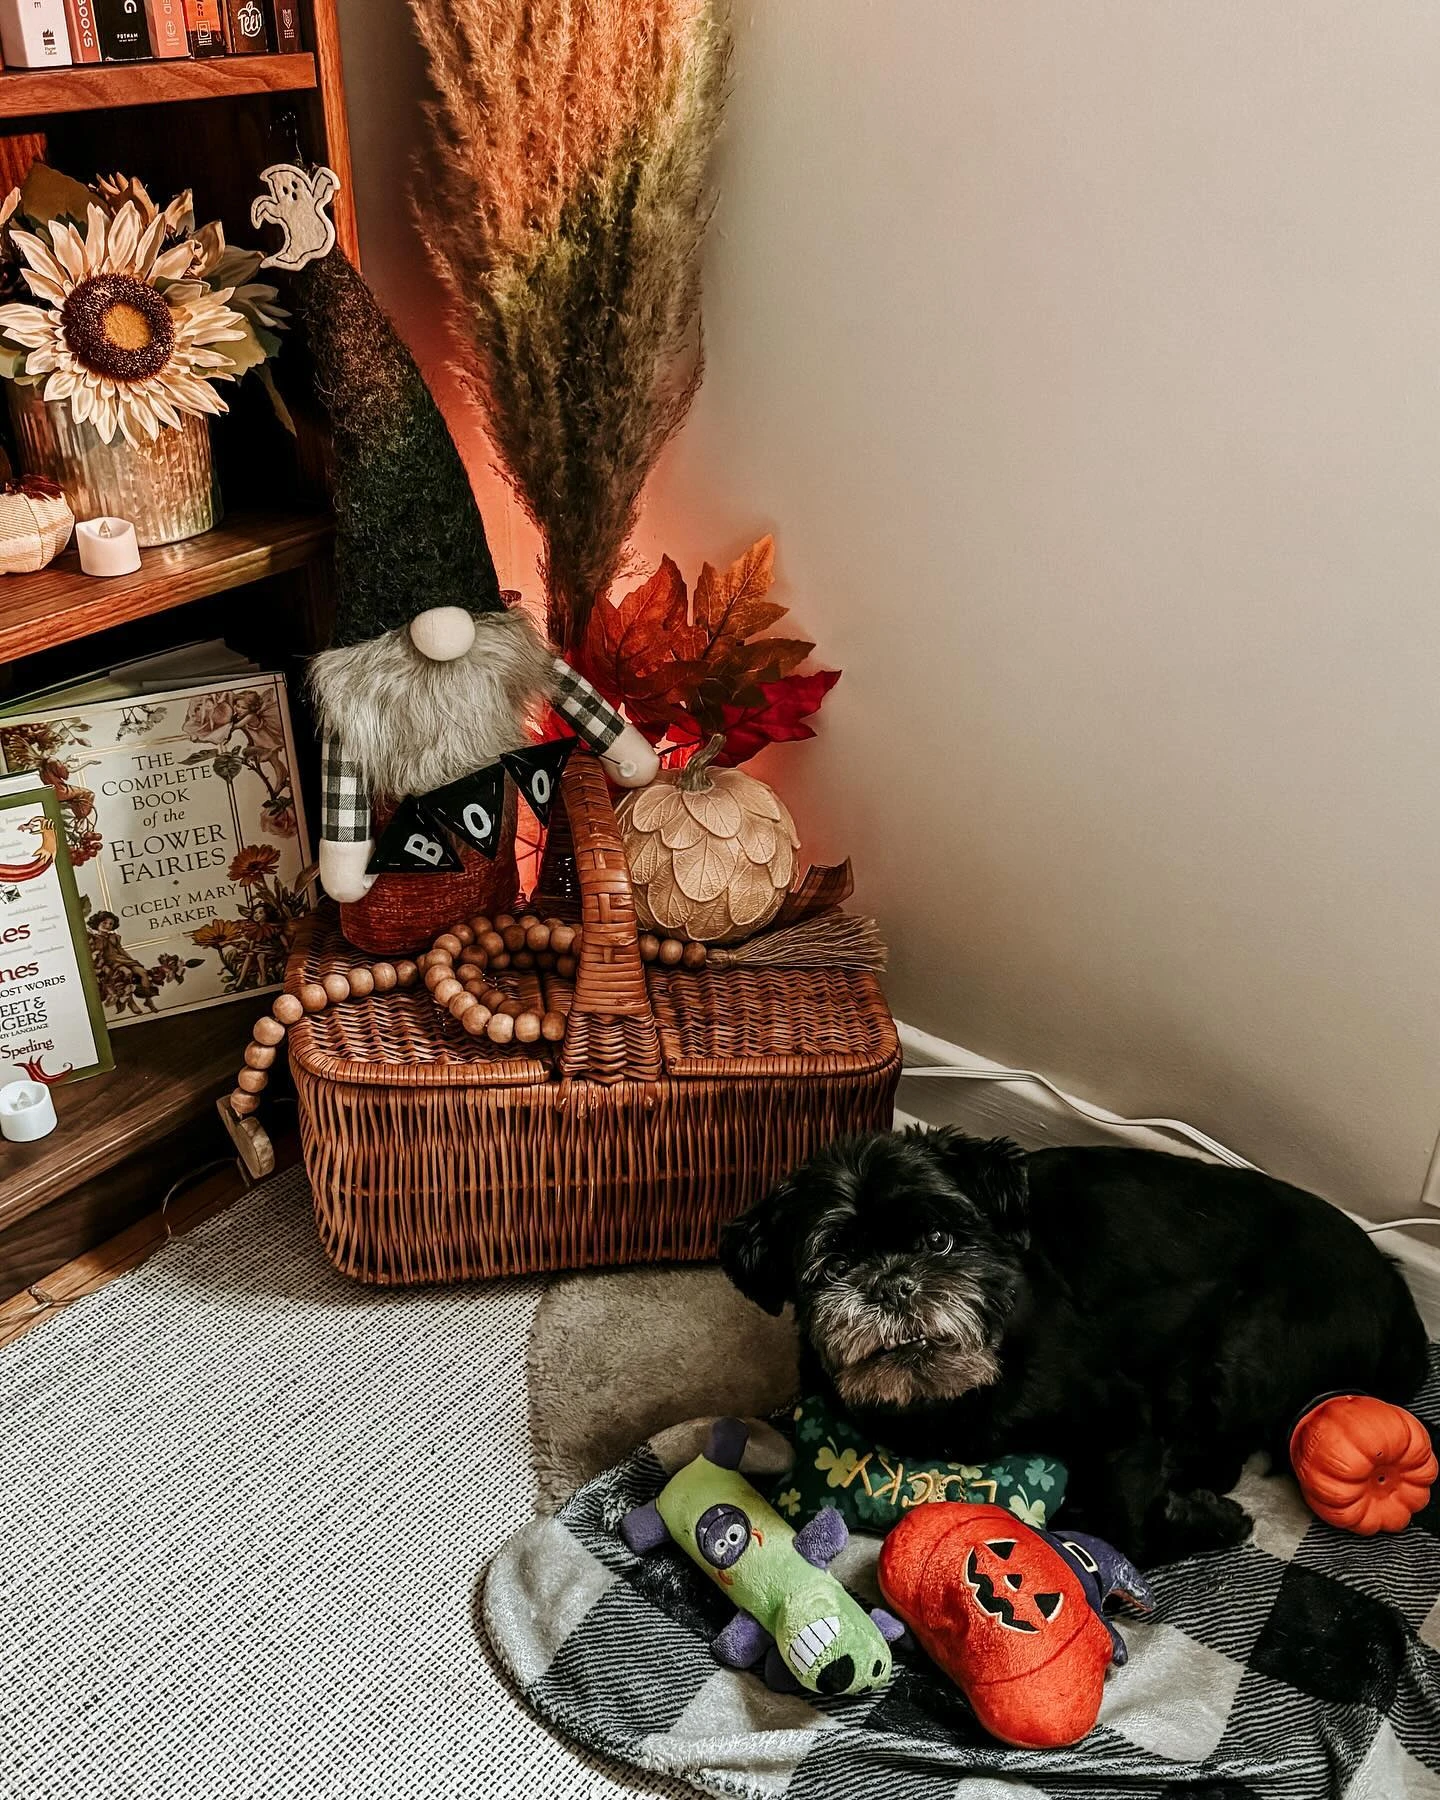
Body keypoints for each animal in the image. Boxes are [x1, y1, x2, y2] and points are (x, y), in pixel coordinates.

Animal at [720, 1130, 1425, 1569]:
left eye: (940, 1239)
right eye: (834, 1265)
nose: (894, 1283)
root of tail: (1396, 1288)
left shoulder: (1124, 1416)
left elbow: (1128, 1527)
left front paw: (1207, 1522)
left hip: (1239, 1347)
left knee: (1219, 1454)